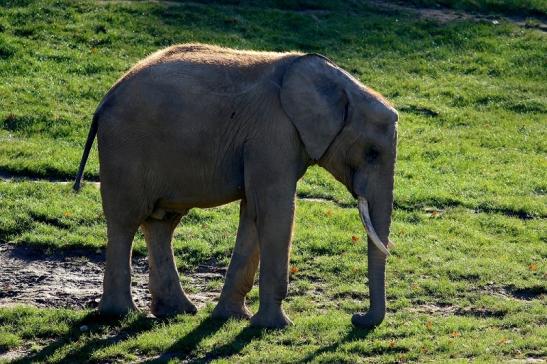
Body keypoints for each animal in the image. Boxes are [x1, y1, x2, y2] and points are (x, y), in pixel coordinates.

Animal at [74, 43, 398, 330]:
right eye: (372, 153)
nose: (356, 318)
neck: (338, 82)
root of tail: (106, 98)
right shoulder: (272, 133)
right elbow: (274, 210)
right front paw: (275, 326)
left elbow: (254, 211)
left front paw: (233, 318)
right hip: (124, 148)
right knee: (125, 221)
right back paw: (121, 314)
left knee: (161, 222)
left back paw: (177, 311)